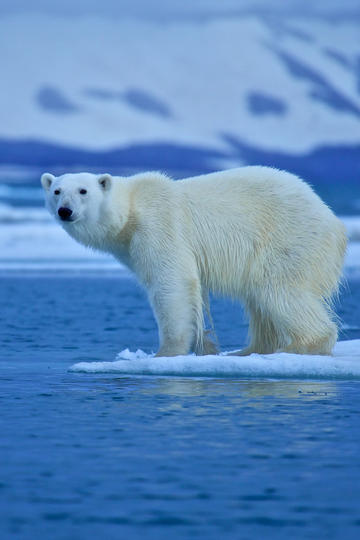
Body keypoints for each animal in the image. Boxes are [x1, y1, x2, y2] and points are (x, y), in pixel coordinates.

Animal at [40, 167, 348, 356]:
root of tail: (335, 223)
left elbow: (172, 282)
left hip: (288, 238)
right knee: (260, 301)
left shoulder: (159, 226)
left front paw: (165, 352)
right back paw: (248, 350)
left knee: (280, 291)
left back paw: (300, 346)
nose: (65, 210)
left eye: (83, 191)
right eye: (56, 191)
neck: (129, 213)